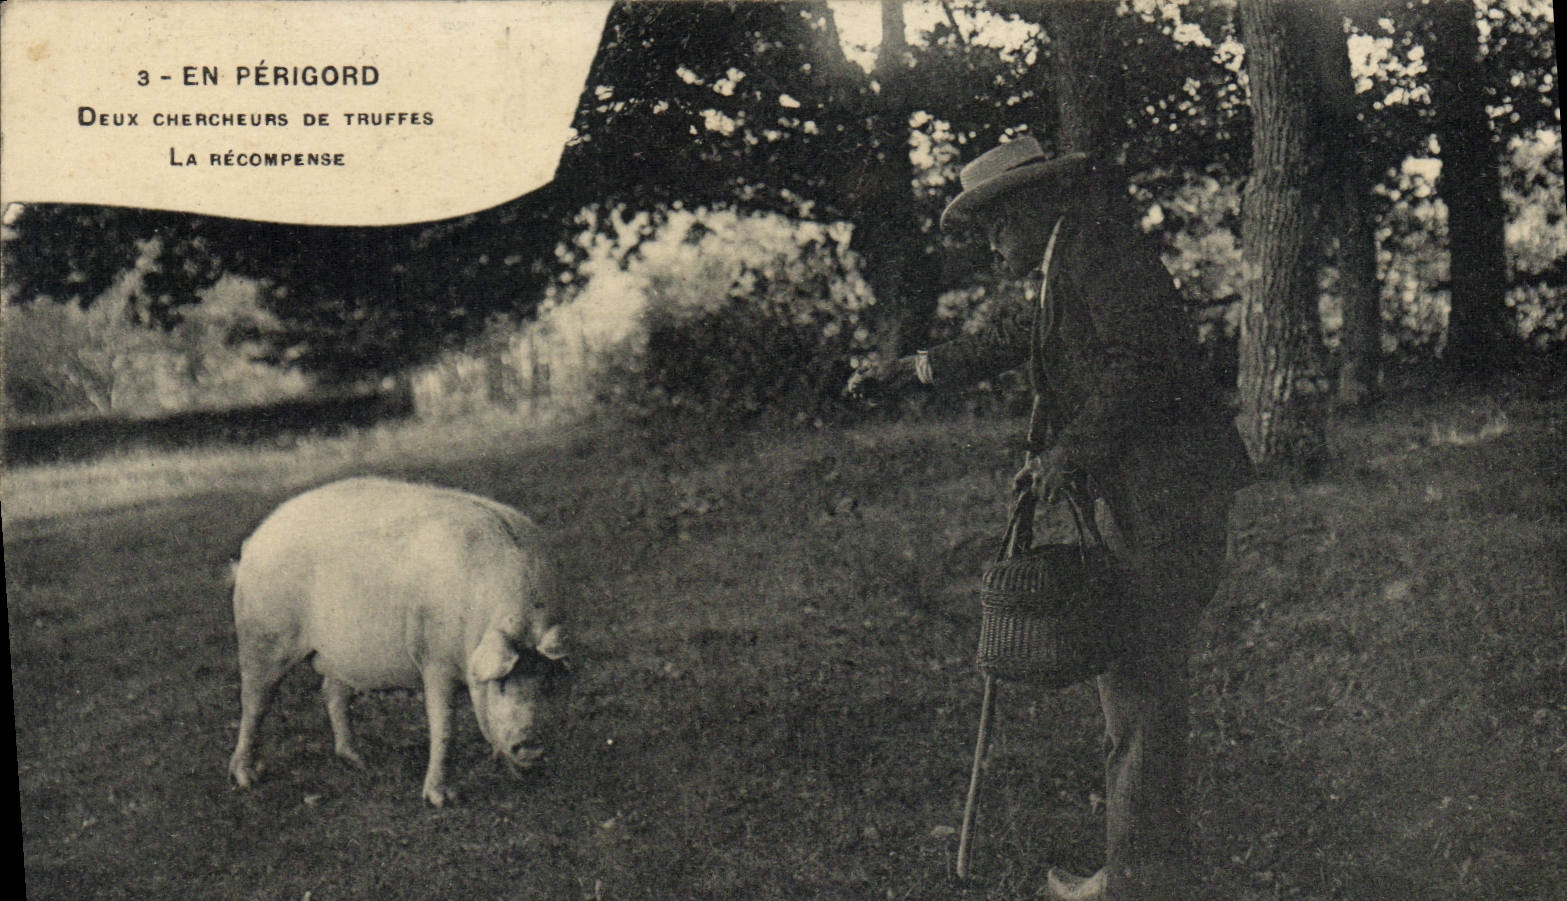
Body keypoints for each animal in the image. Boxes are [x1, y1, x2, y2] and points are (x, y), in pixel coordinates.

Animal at [226, 477, 569, 806]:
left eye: (547, 683)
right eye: (500, 684)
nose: (531, 743)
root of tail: (255, 540)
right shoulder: (434, 659)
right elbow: (445, 727)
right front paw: (441, 800)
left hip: (339, 653)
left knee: (332, 693)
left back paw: (359, 760)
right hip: (263, 635)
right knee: (255, 701)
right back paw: (246, 778)